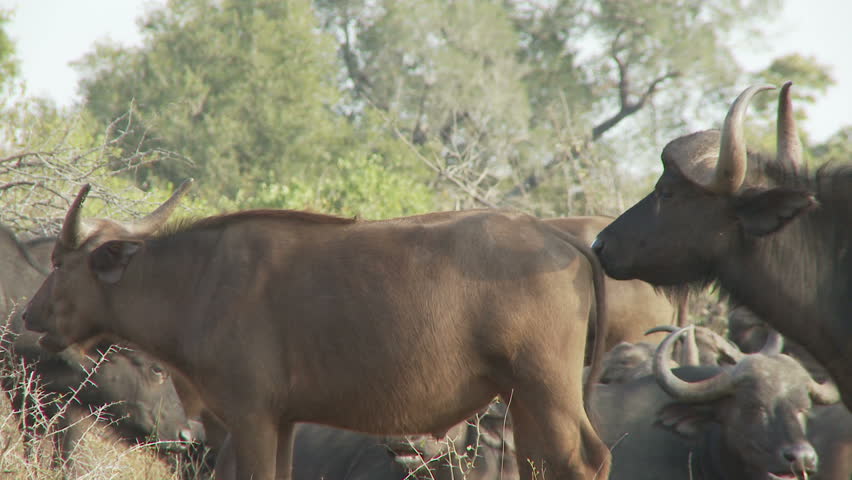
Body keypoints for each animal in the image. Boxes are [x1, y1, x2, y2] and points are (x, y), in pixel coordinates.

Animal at [22, 182, 613, 480]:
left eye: (57, 262)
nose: (29, 317)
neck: (200, 280)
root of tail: (555, 237)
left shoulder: (250, 419)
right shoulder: (282, 422)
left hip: (547, 389)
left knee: (587, 459)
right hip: (522, 399)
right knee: (542, 464)